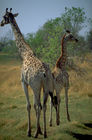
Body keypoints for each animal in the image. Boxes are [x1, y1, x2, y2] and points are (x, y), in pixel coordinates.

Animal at [0, 8, 54, 138]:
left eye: (4, 17)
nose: (1, 23)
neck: (25, 54)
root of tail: (44, 73)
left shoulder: (24, 82)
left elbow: (29, 106)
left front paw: (30, 131)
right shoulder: (34, 86)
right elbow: (35, 106)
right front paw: (39, 130)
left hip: (35, 86)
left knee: (39, 105)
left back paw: (35, 133)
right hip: (45, 86)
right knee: (43, 105)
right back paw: (44, 133)